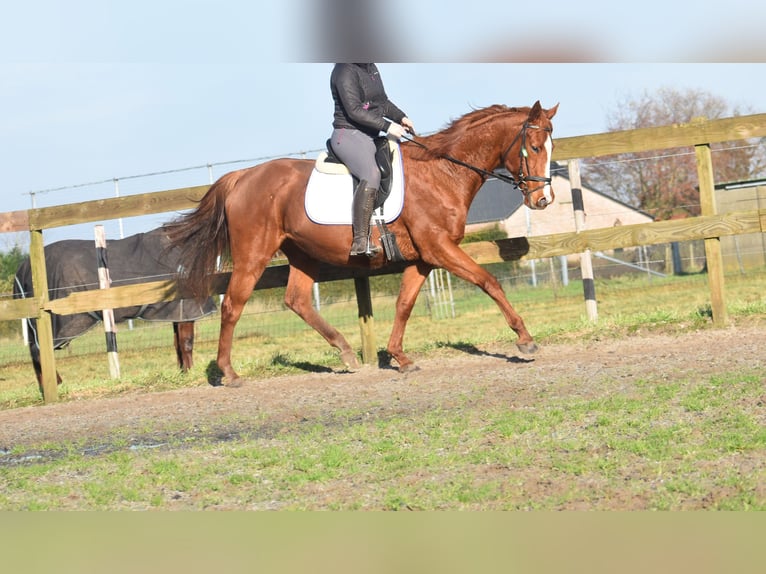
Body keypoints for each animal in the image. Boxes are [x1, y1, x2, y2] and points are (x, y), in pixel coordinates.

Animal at [14, 226, 219, 388]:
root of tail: (22, 269)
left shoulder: (177, 312)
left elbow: (177, 344)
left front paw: (183, 372)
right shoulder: (186, 308)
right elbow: (187, 342)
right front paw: (190, 372)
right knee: (39, 352)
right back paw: (55, 385)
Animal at [166, 103, 560, 392]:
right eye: (534, 147)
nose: (543, 200)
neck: (443, 173)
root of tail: (241, 178)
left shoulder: (424, 258)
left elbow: (404, 304)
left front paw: (400, 357)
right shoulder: (440, 249)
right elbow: (489, 282)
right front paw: (525, 340)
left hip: (302, 253)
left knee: (296, 300)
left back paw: (345, 354)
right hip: (254, 254)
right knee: (233, 305)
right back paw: (229, 373)